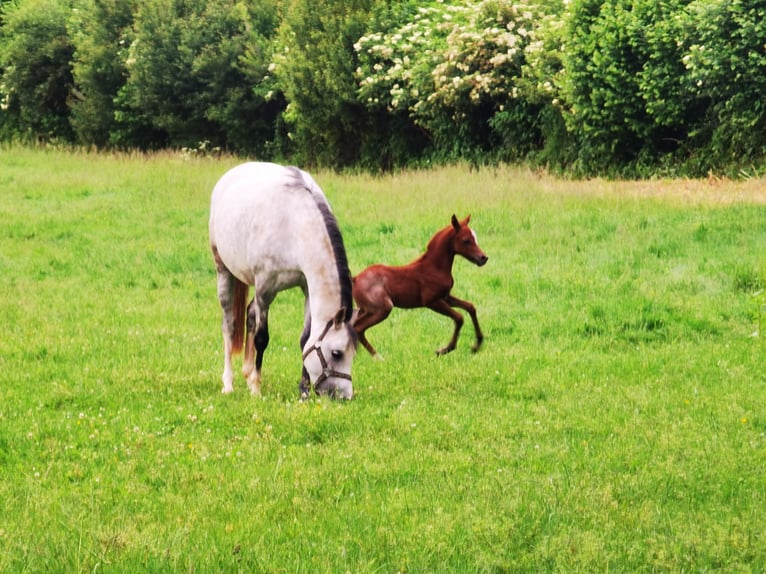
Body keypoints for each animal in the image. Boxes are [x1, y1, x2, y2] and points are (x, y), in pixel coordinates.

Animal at [209, 162, 357, 399]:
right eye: (336, 353)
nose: (345, 396)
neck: (294, 225)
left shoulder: (306, 288)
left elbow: (305, 339)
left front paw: (303, 390)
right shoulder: (265, 289)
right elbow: (262, 337)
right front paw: (256, 387)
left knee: (250, 313)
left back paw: (246, 372)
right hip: (223, 271)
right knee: (229, 326)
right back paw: (229, 383)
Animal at [352, 214, 488, 358]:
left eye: (475, 238)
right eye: (466, 240)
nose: (483, 258)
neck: (434, 268)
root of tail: (356, 278)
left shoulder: (445, 297)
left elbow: (470, 307)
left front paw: (477, 345)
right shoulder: (432, 302)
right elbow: (459, 318)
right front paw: (444, 349)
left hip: (365, 309)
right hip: (382, 309)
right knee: (358, 328)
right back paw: (377, 357)